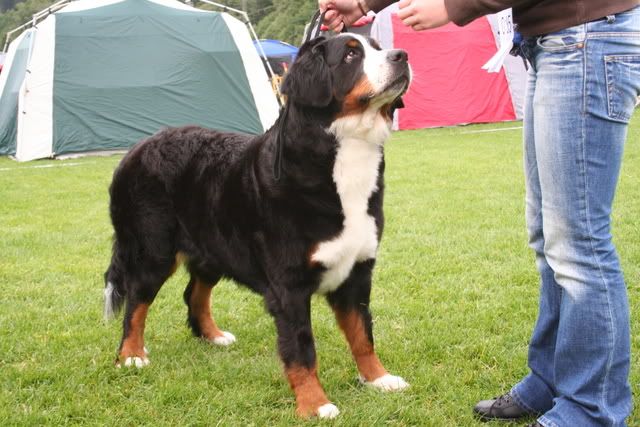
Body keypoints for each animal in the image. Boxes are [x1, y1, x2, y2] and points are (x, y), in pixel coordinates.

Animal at [104, 34, 410, 422]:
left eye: (378, 46)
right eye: (351, 55)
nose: (402, 55)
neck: (343, 160)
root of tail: (138, 147)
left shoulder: (356, 272)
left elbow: (363, 334)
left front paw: (378, 378)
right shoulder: (289, 286)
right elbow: (302, 349)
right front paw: (315, 404)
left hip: (212, 247)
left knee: (193, 293)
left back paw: (212, 336)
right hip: (152, 250)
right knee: (135, 303)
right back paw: (131, 355)